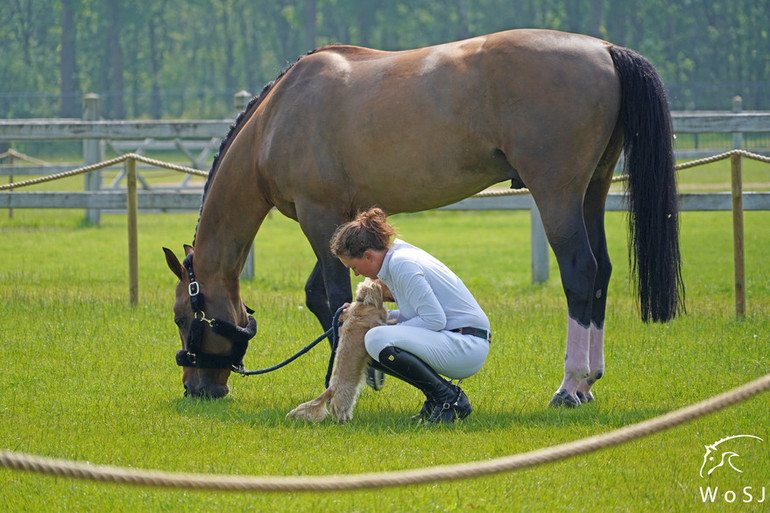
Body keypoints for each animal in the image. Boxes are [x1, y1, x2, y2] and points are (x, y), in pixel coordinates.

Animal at [165, 29, 680, 404]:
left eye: (181, 317)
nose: (198, 389)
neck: (277, 118)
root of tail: (604, 50)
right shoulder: (343, 219)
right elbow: (322, 296)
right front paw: (369, 372)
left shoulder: (319, 214)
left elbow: (334, 298)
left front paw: (341, 381)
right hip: (593, 190)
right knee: (602, 273)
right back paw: (590, 381)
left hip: (557, 193)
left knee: (580, 273)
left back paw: (570, 386)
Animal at [284, 278, 388, 422]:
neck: (364, 304)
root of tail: (331, 388)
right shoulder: (375, 321)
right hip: (344, 393)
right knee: (337, 408)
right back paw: (342, 420)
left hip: (351, 393)